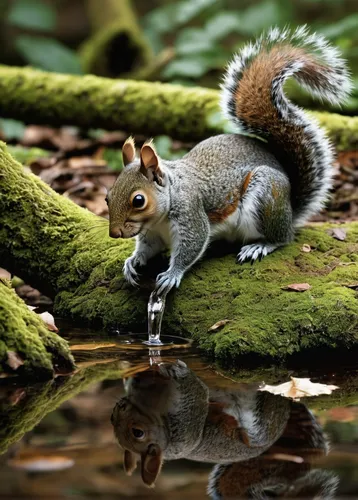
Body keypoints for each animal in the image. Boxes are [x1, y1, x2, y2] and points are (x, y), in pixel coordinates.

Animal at [105, 26, 350, 292]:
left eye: (138, 200)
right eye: (107, 197)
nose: (114, 233)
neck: (160, 214)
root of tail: (290, 209)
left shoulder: (191, 216)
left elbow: (191, 247)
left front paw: (172, 273)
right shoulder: (152, 234)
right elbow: (147, 248)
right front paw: (133, 261)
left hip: (266, 195)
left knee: (282, 238)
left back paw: (260, 245)